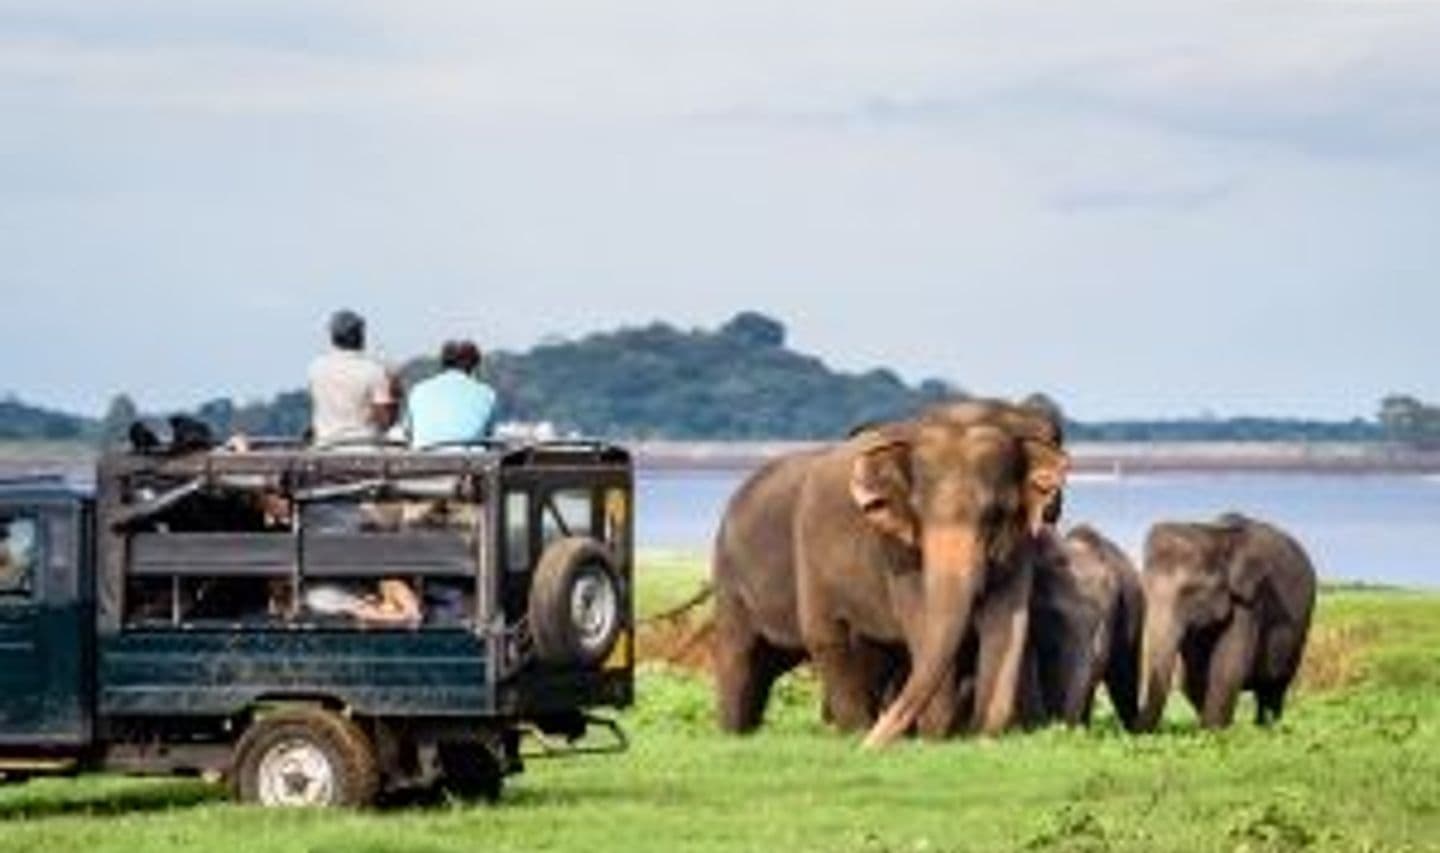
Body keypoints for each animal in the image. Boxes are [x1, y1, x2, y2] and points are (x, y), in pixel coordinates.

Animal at [711, 400, 1065, 749]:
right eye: (917, 512)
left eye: (996, 515)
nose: (873, 745)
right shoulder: (896, 549)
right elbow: (921, 622)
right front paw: (936, 738)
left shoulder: (1019, 543)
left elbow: (1008, 623)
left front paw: (982, 736)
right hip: (754, 570)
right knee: (786, 644)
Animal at [1134, 510, 1319, 729]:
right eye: (1144, 589)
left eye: (1191, 591)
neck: (1215, 533)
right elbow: (1192, 678)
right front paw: (1208, 728)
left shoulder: (1249, 600)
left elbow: (1227, 669)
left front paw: (1214, 730)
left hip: (1303, 622)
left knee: (1275, 687)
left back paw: (1268, 727)